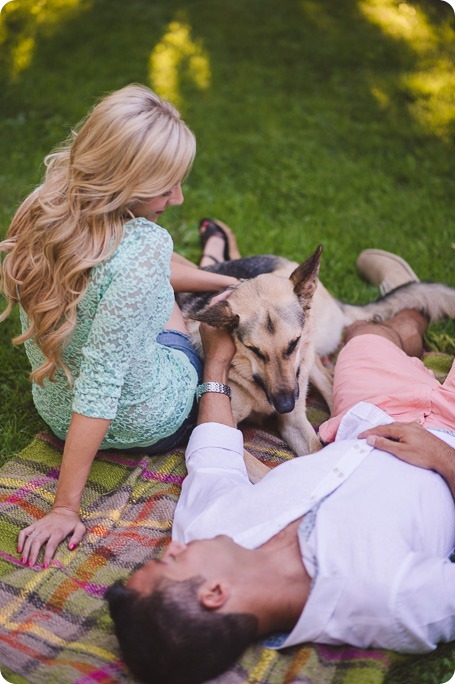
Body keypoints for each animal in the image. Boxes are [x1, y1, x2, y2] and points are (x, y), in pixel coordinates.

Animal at [177, 246, 455, 460]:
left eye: (292, 344)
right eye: (255, 350)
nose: (284, 406)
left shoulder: (294, 414)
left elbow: (314, 449)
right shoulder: (224, 427)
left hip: (310, 355)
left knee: (329, 382)